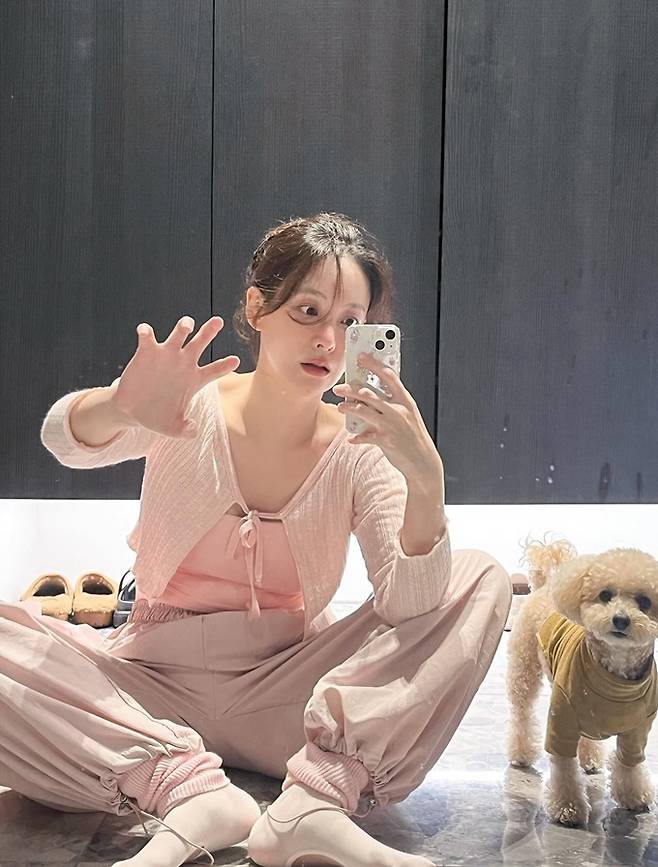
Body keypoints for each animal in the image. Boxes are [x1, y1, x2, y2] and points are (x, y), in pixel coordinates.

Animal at [506, 536, 658, 826]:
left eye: (645, 601)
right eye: (605, 595)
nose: (620, 619)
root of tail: (545, 585)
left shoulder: (638, 730)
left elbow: (629, 763)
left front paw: (634, 796)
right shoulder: (561, 719)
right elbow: (564, 767)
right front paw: (567, 808)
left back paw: (590, 760)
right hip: (524, 671)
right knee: (521, 714)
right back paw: (521, 754)